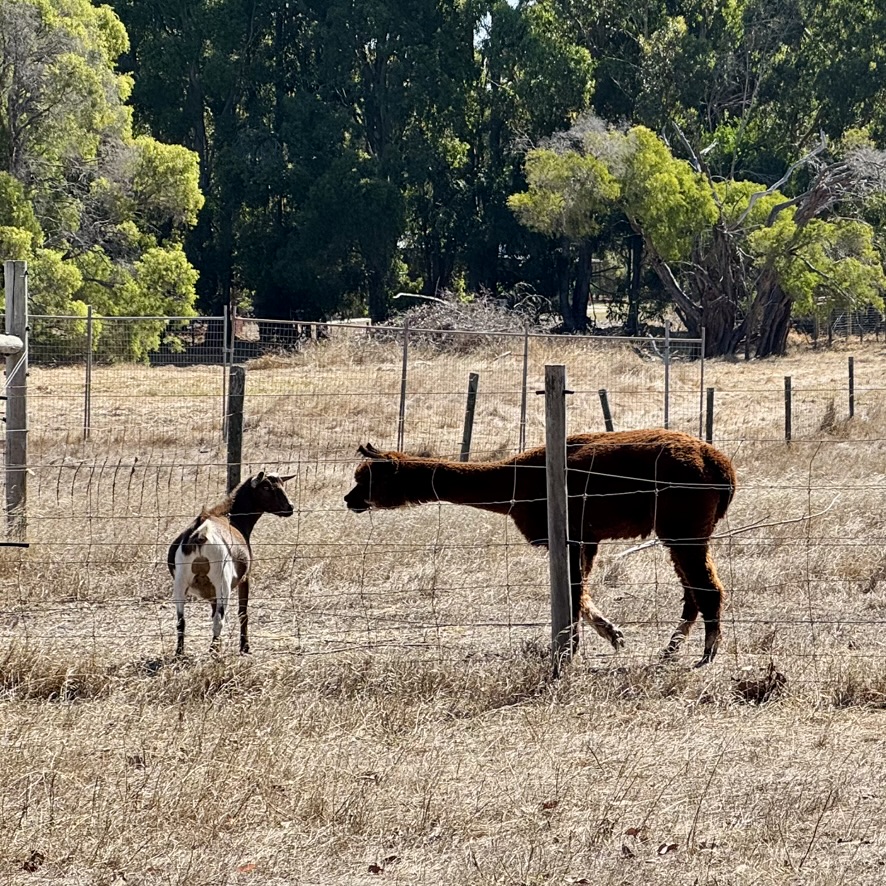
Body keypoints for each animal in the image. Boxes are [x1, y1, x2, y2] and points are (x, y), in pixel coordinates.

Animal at [167, 471, 294, 656]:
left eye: (282, 485)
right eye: (266, 487)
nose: (290, 507)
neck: (229, 516)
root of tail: (200, 534)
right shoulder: (245, 578)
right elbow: (242, 612)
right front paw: (245, 647)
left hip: (181, 582)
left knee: (181, 620)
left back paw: (180, 652)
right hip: (223, 582)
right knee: (219, 619)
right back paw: (214, 652)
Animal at [344, 430, 736, 666]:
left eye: (367, 479)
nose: (350, 500)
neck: (516, 482)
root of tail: (721, 466)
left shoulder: (571, 533)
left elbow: (573, 593)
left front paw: (570, 651)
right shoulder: (584, 537)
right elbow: (579, 593)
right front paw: (610, 634)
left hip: (683, 523)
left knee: (707, 588)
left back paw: (706, 654)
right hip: (682, 528)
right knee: (692, 590)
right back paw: (670, 651)